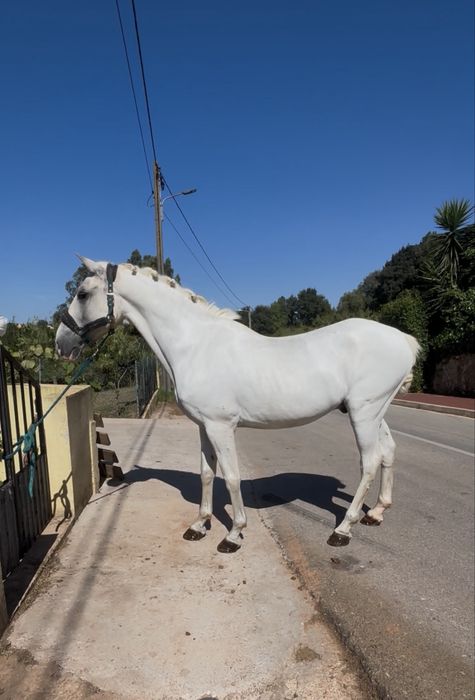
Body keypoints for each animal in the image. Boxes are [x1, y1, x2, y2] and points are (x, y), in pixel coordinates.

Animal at [55, 257, 420, 553]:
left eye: (83, 294)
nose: (61, 343)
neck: (195, 345)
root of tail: (403, 339)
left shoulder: (221, 426)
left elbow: (230, 476)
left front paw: (234, 534)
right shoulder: (203, 427)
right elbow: (206, 473)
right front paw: (198, 525)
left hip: (363, 413)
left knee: (369, 462)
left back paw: (343, 529)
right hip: (375, 413)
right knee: (388, 451)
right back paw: (375, 513)